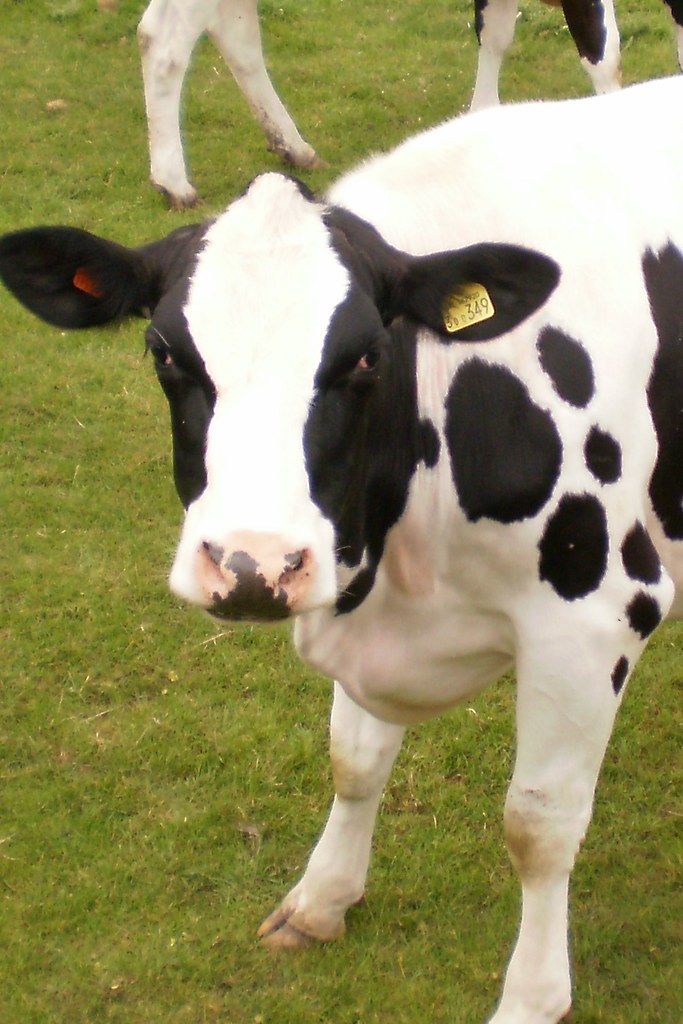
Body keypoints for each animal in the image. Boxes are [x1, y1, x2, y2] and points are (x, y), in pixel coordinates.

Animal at [1, 75, 681, 1023]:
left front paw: (532, 997)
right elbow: (353, 761)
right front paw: (321, 900)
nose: (251, 565)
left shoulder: (598, 614)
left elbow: (538, 825)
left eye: (363, 356)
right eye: (164, 351)